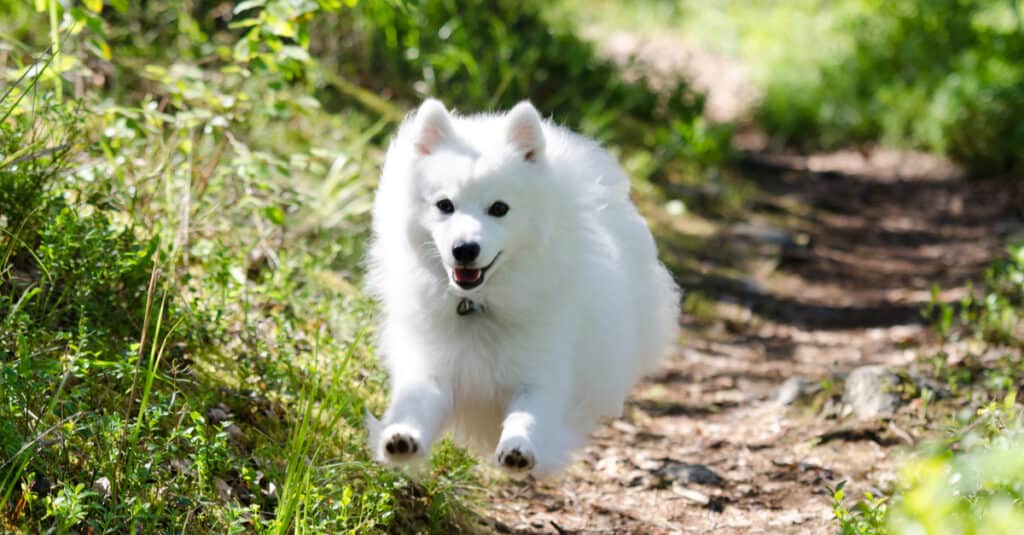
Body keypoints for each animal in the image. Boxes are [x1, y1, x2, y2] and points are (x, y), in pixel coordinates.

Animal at [366, 97, 679, 473]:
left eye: (499, 208)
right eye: (444, 205)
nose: (465, 249)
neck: (478, 305)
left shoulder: (541, 374)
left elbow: (527, 415)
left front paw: (518, 448)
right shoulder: (432, 367)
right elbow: (415, 405)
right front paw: (401, 437)